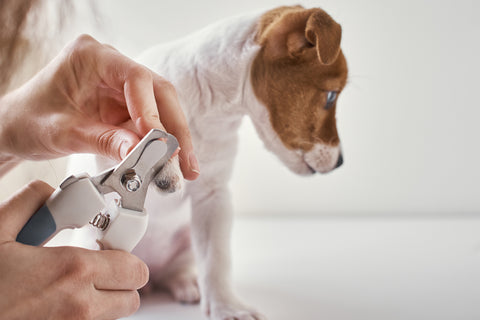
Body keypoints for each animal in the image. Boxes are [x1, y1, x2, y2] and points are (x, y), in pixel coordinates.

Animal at [81, 5, 348, 320]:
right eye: (330, 97)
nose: (341, 162)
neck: (209, 108)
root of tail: (148, 276)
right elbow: (136, 129)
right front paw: (165, 160)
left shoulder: (213, 197)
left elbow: (215, 259)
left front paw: (226, 306)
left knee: (176, 270)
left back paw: (184, 283)